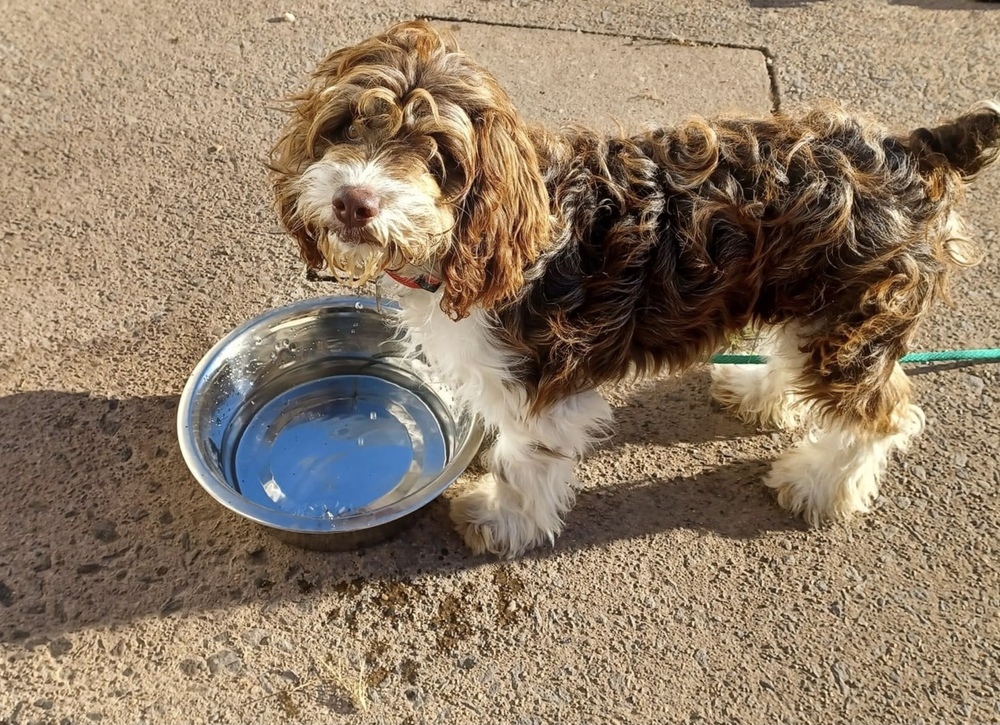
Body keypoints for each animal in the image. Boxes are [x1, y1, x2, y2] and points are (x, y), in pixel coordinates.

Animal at [268, 21, 1000, 556]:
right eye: (346, 125)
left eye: (438, 154)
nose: (354, 201)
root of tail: (917, 145)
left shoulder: (541, 384)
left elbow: (520, 461)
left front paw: (501, 520)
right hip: (813, 302)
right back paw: (760, 392)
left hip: (852, 324)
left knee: (884, 414)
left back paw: (818, 484)